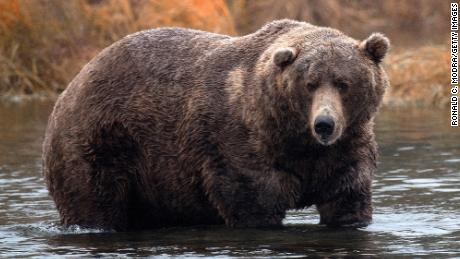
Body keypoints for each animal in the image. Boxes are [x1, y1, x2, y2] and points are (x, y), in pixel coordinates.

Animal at [42, 19, 388, 232]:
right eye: (310, 84)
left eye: (343, 83)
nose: (324, 124)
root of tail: (72, 85)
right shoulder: (240, 146)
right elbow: (254, 202)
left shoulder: (345, 150)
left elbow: (347, 198)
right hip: (102, 142)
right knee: (94, 200)